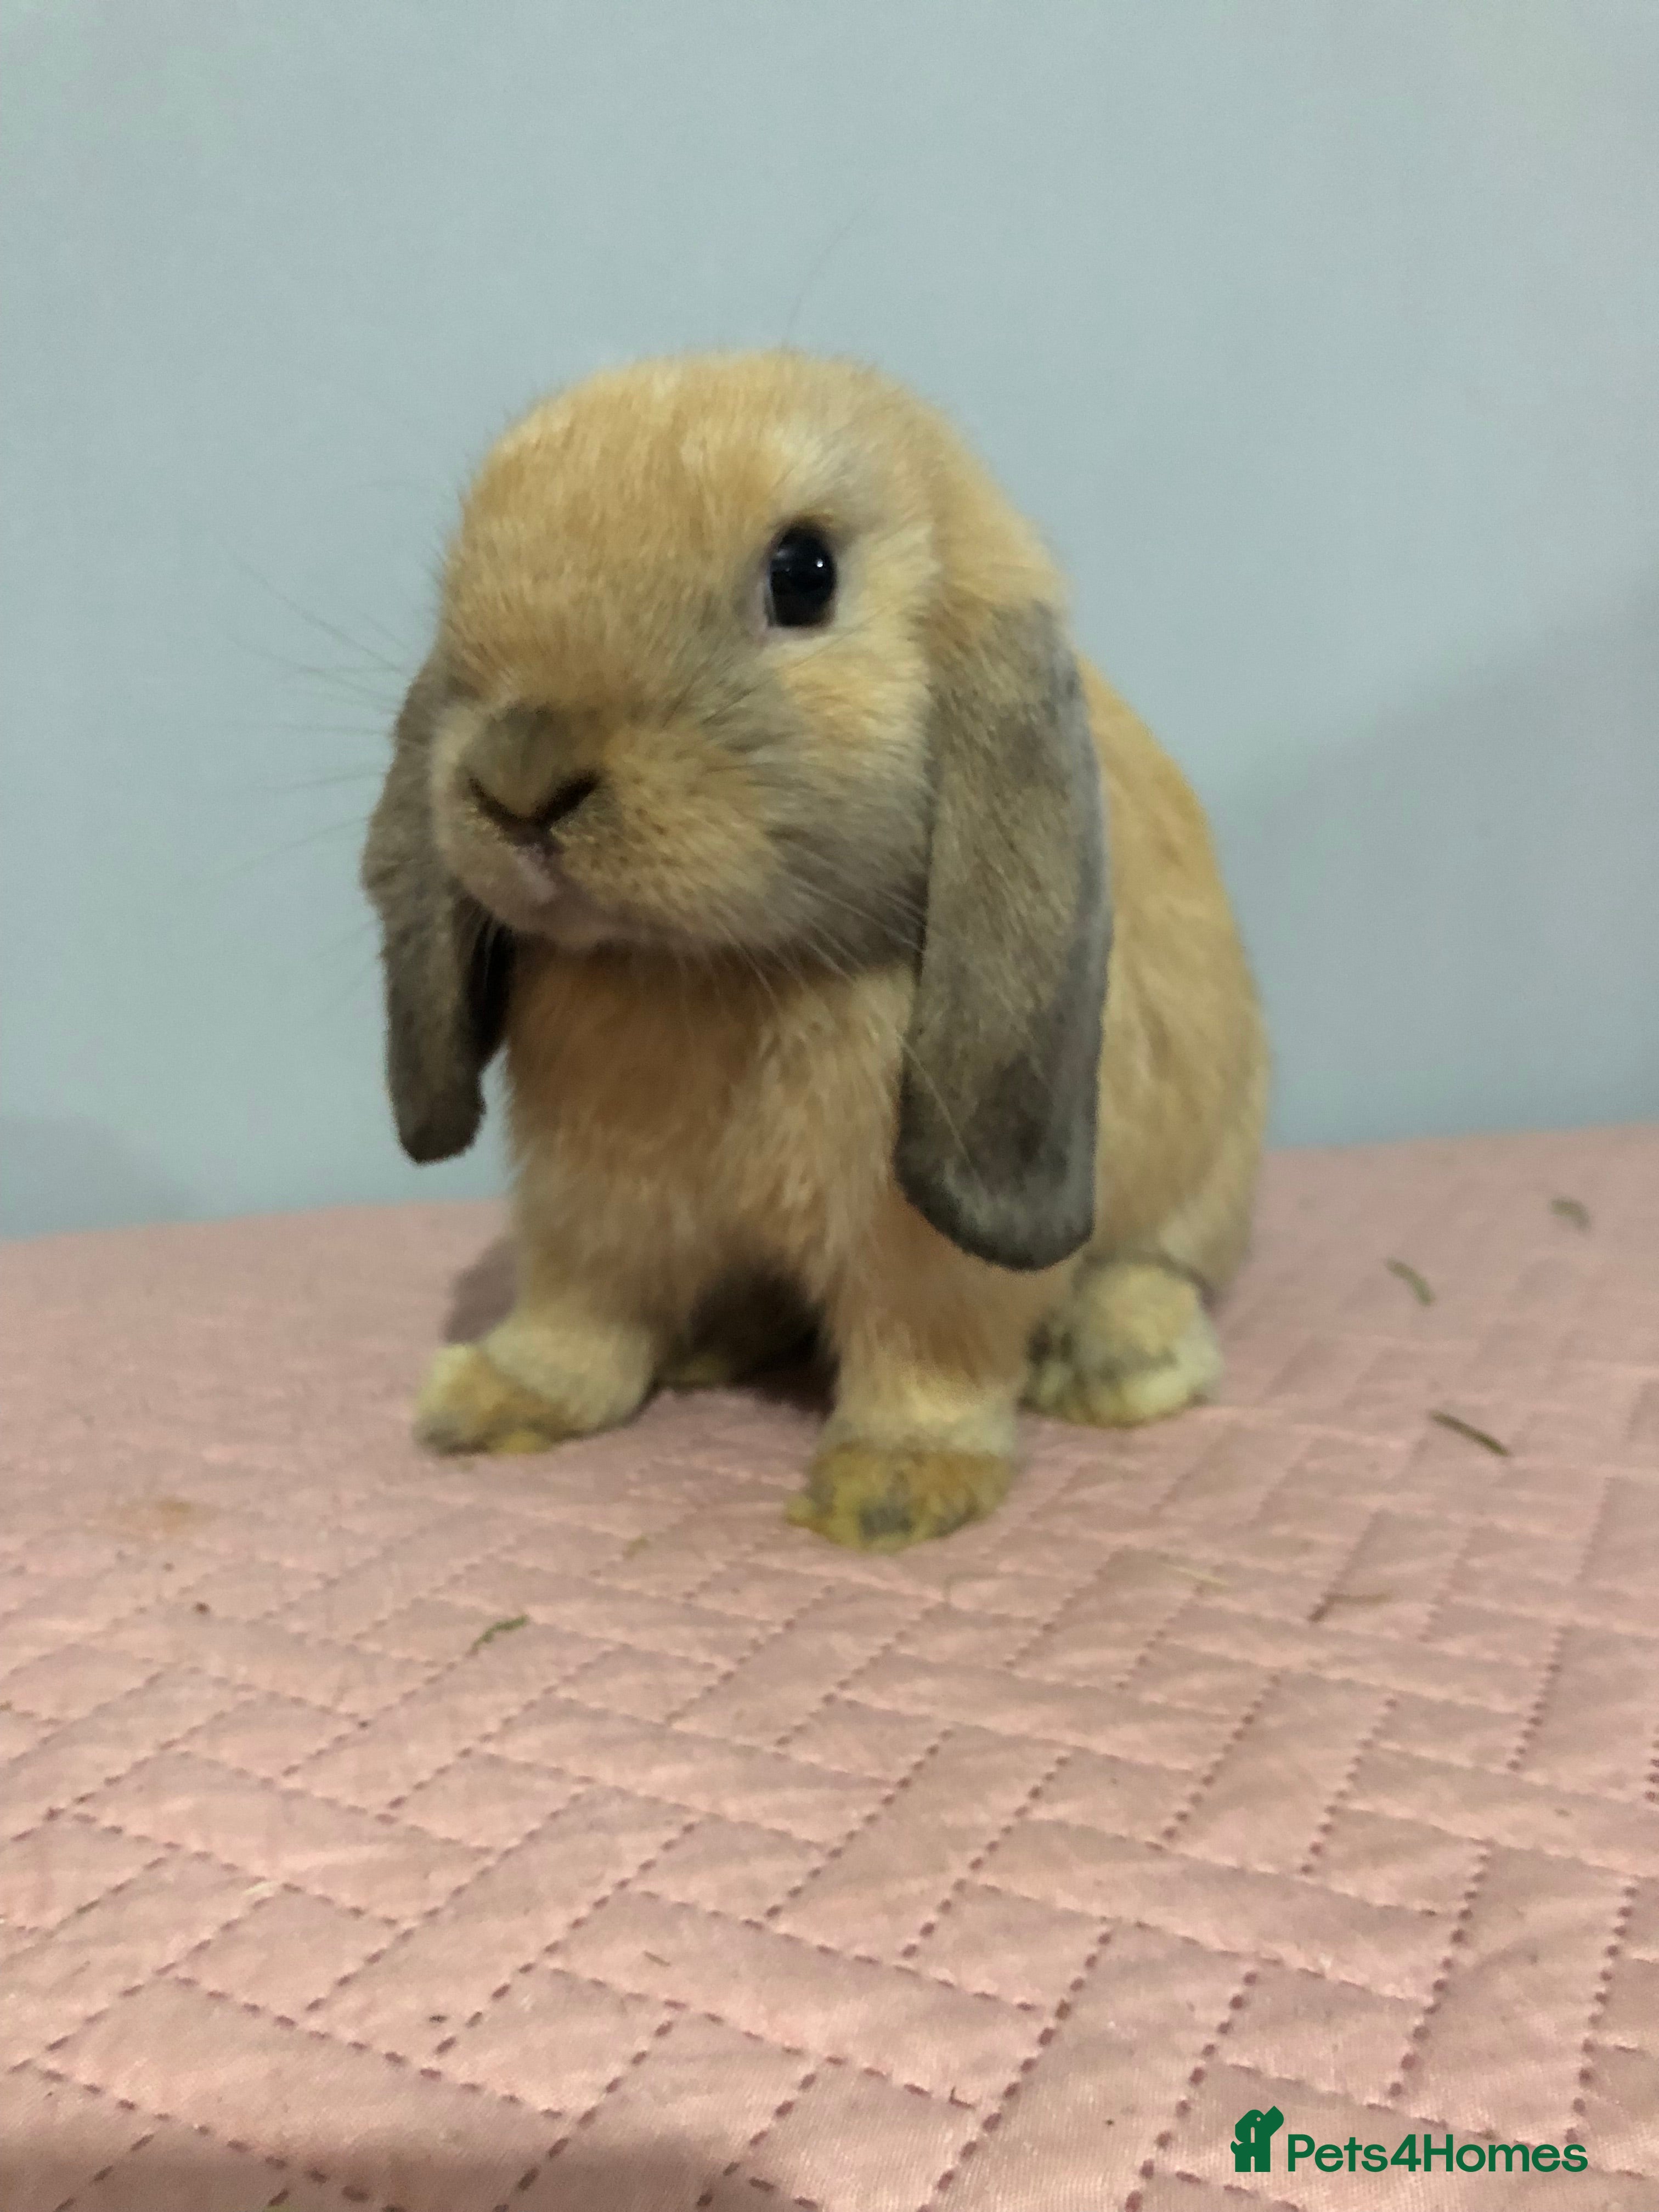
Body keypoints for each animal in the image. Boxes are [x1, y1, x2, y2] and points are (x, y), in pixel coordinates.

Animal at [361, 350, 1268, 1551]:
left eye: (803, 576)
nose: (519, 782)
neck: (713, 970)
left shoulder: (925, 1257)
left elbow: (925, 1351)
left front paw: (892, 1490)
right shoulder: (588, 1206)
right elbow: (578, 1312)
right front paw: (496, 1400)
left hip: (1201, 1183)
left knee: (1153, 1267)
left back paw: (1120, 1365)